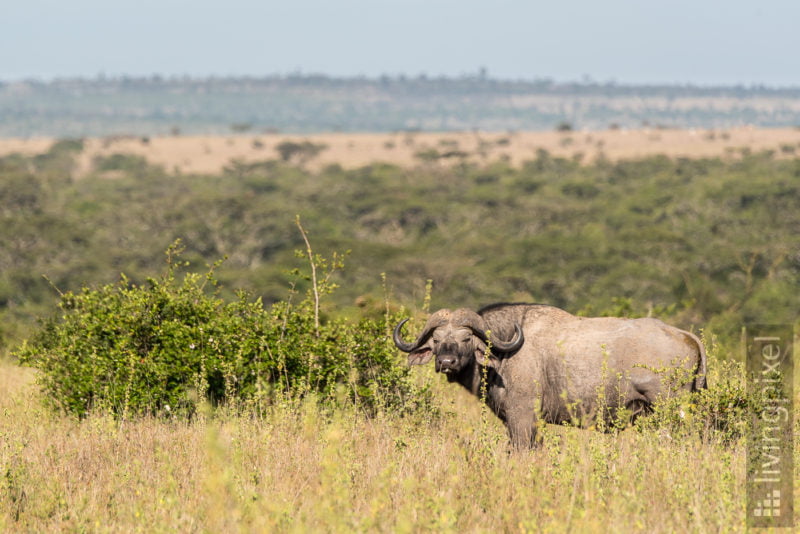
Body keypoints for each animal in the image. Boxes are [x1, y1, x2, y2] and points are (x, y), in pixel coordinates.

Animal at [394, 304, 708, 450]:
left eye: (466, 338)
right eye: (436, 340)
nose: (446, 362)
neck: (505, 354)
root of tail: (686, 335)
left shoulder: (522, 418)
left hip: (669, 411)